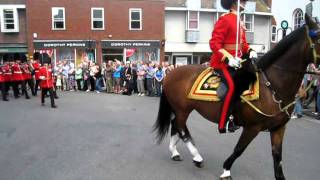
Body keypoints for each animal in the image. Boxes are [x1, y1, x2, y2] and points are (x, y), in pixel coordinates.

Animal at [153, 15, 320, 180]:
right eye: (318, 37)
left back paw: (175, 152)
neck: (272, 85)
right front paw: (226, 170)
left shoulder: (278, 128)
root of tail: (171, 73)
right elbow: (239, 149)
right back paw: (196, 157)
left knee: (176, 125)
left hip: (181, 109)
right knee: (181, 127)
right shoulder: (252, 127)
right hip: (182, 109)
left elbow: (277, 157)